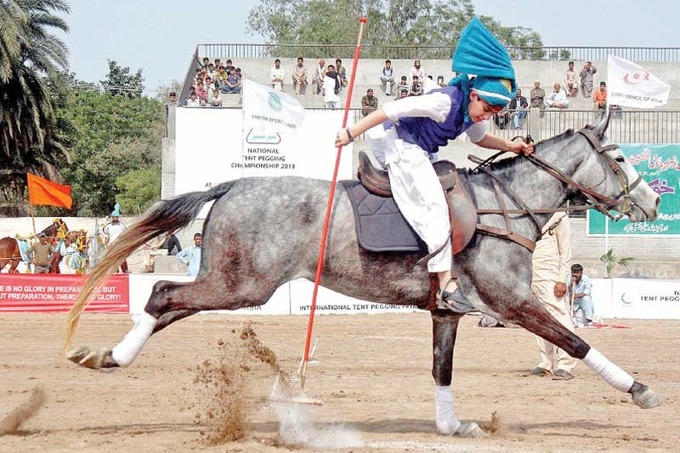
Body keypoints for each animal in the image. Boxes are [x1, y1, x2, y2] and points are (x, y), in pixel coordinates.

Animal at [65, 117, 660, 438]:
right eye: (620, 156)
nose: (654, 203)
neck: (505, 206)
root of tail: (230, 185)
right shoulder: (512, 302)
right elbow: (576, 340)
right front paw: (639, 389)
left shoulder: (447, 310)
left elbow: (442, 369)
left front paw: (451, 426)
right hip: (242, 285)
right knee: (163, 294)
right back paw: (110, 356)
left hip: (234, 283)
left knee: (168, 304)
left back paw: (100, 355)